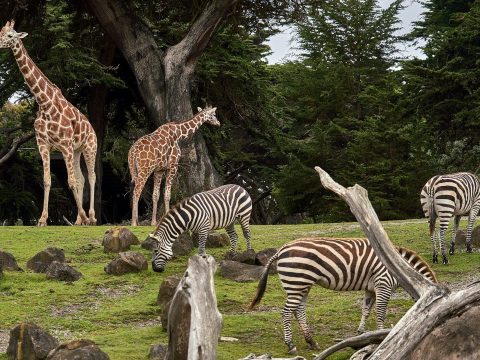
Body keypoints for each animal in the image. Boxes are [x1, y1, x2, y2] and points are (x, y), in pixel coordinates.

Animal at [0, 20, 98, 225]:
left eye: (10, 35)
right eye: (0, 32)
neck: (44, 103)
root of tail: (92, 128)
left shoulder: (65, 144)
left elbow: (71, 181)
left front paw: (84, 216)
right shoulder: (43, 144)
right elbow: (47, 179)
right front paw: (42, 219)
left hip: (89, 147)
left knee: (92, 176)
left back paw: (91, 217)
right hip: (76, 151)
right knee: (82, 177)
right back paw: (78, 220)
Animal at [249, 238, 436, 352]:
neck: (399, 268)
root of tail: (281, 249)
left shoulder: (371, 288)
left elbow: (366, 309)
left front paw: (361, 332)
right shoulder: (383, 284)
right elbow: (380, 313)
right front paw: (382, 336)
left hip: (301, 285)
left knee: (298, 311)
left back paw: (311, 341)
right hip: (297, 282)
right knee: (287, 312)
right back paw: (290, 344)